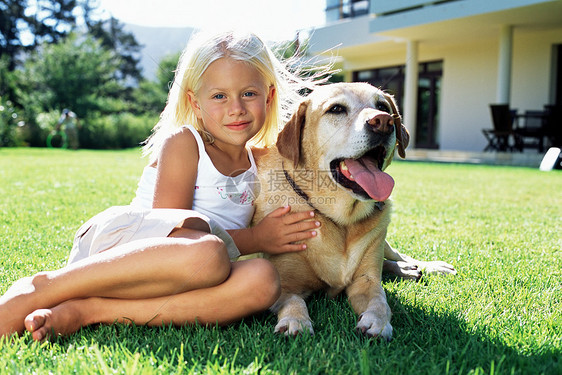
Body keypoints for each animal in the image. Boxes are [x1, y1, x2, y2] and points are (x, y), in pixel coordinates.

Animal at [252, 83, 452, 340]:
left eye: (382, 106)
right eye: (336, 109)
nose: (383, 121)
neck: (340, 220)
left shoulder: (366, 281)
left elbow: (380, 300)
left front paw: (378, 322)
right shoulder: (284, 285)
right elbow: (294, 301)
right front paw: (295, 321)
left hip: (383, 241)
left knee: (397, 256)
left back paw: (425, 266)